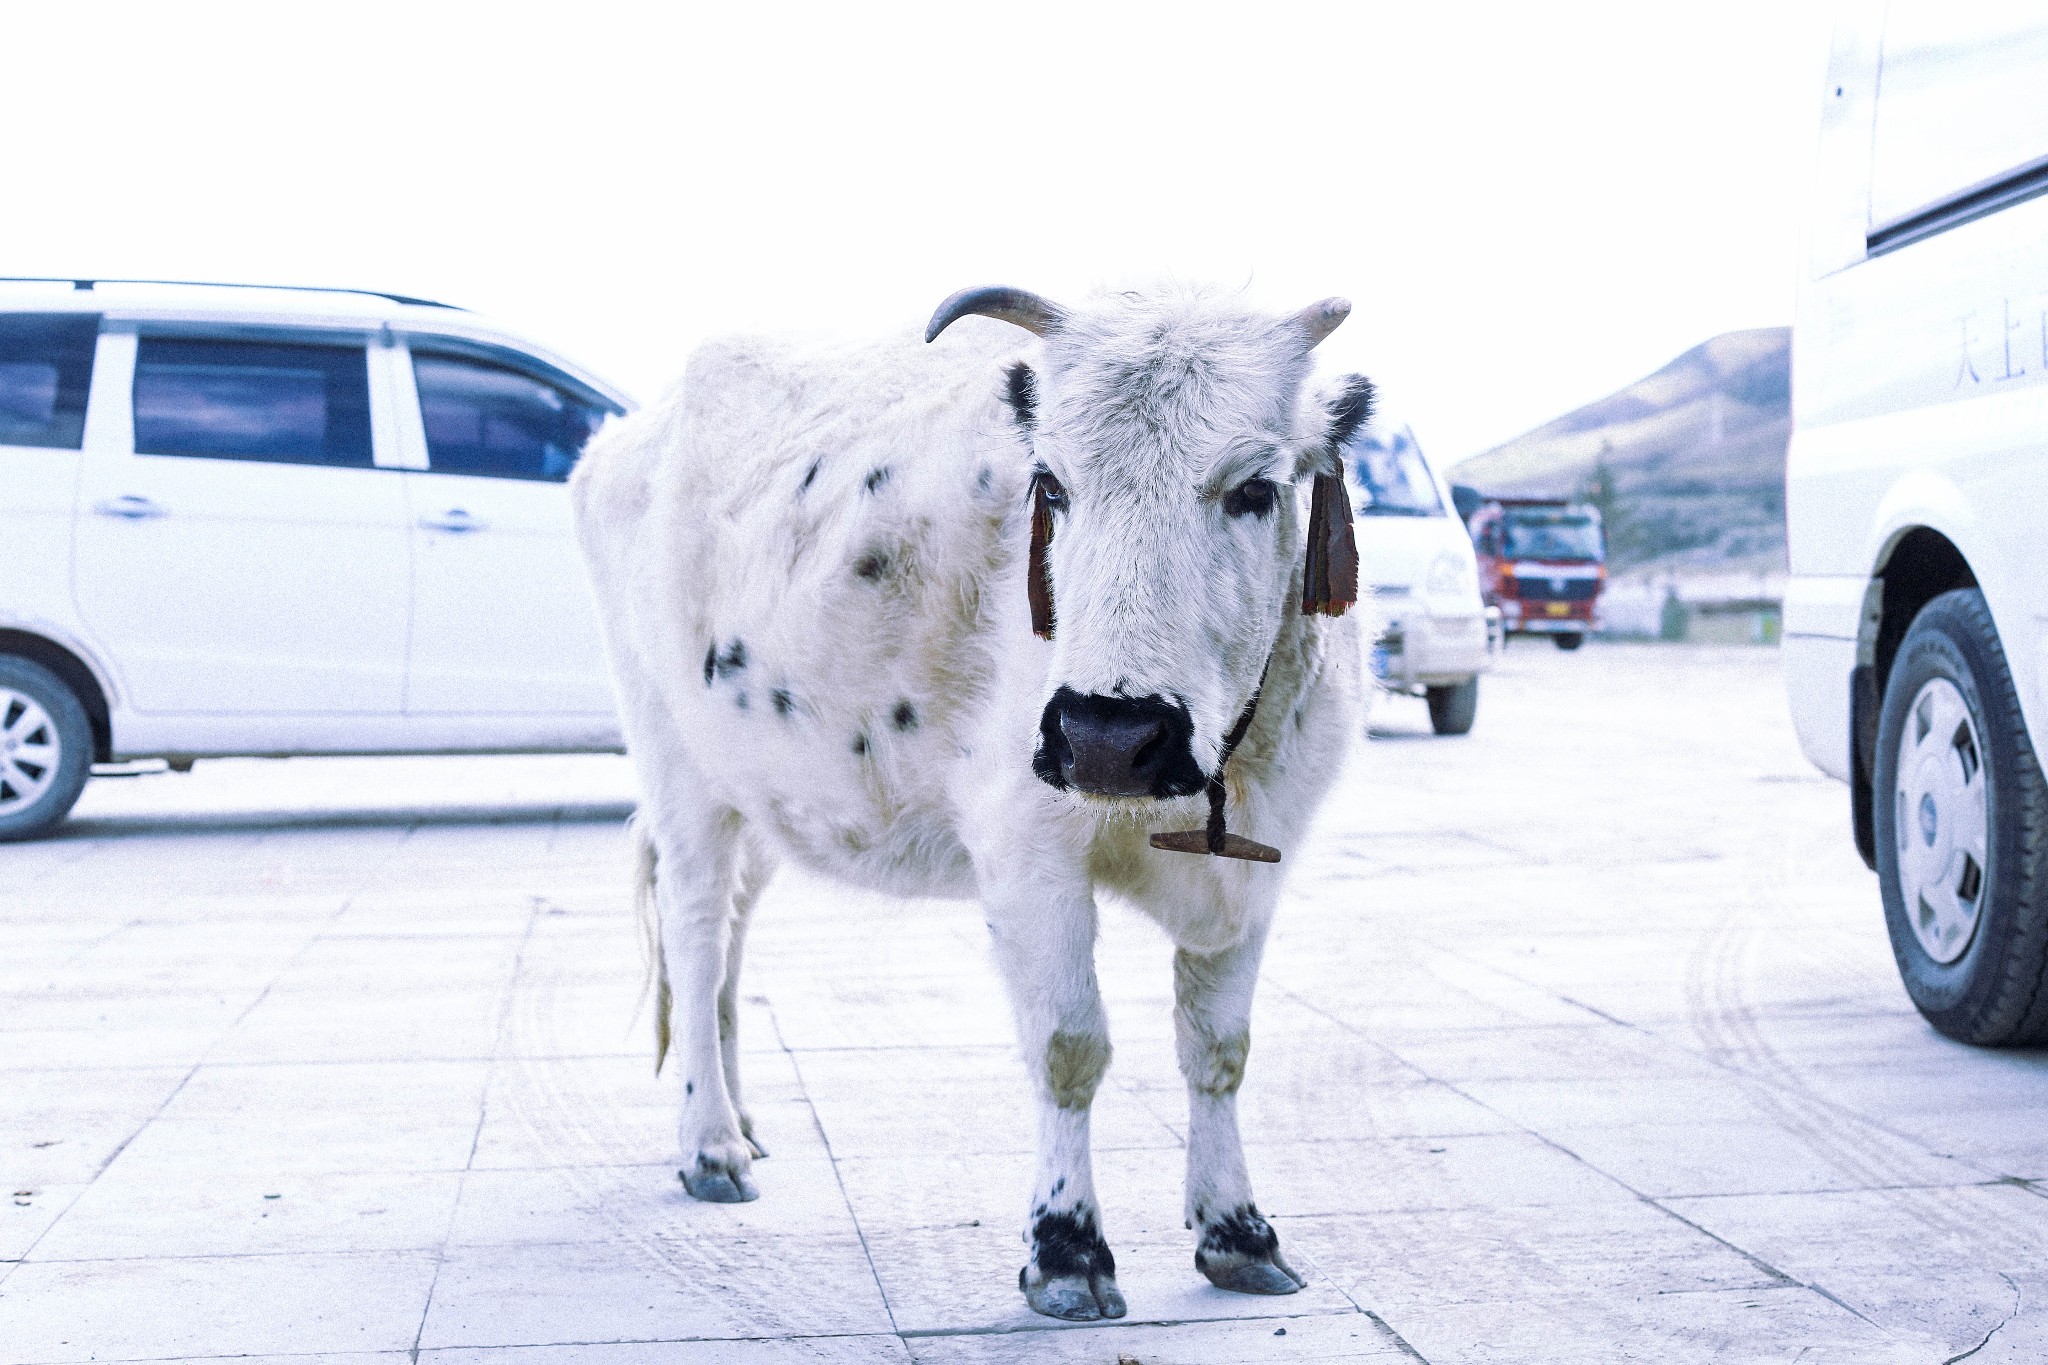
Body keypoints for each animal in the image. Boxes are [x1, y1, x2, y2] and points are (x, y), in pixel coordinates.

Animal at [577, 288, 1368, 1326]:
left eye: (1255, 487)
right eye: (1052, 484)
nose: (1109, 734)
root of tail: (626, 434)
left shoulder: (1255, 870)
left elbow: (1218, 1049)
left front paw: (1239, 1231)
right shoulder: (1027, 855)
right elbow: (1070, 1046)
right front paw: (1067, 1251)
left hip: (762, 793)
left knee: (730, 945)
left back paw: (742, 1122)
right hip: (680, 772)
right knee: (697, 935)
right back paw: (709, 1144)